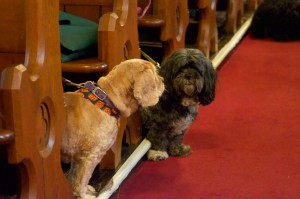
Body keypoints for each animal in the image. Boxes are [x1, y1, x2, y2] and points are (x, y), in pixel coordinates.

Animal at [61, 58, 164, 198]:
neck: (106, 99)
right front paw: (83, 195)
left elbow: (74, 176)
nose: (163, 80)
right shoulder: (90, 156)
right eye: (156, 75)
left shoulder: (77, 156)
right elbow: (82, 179)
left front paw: (83, 190)